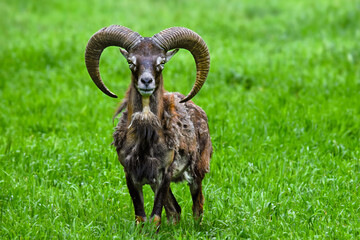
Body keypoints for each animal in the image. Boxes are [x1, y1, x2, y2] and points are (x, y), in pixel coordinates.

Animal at [84, 25, 212, 226]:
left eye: (161, 62)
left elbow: (155, 217)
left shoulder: (164, 175)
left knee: (197, 206)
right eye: (131, 61)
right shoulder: (132, 175)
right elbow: (141, 216)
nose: (146, 81)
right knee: (175, 210)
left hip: (197, 172)